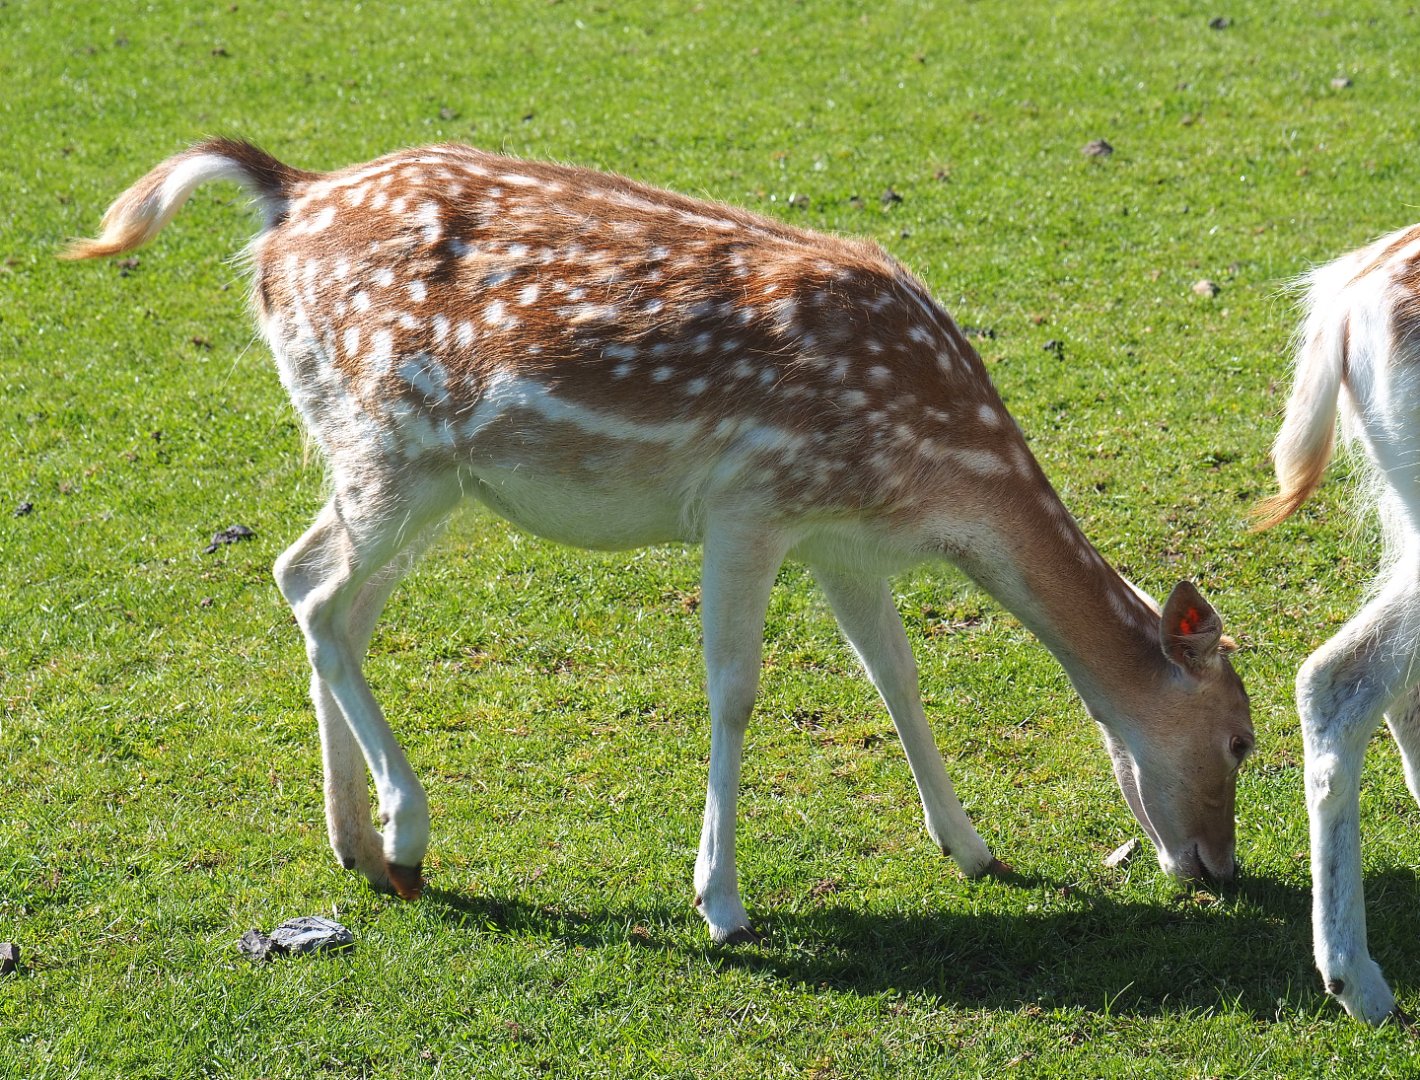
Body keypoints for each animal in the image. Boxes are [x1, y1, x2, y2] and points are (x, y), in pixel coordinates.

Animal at [64, 139, 1254, 943]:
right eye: (1242, 740)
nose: (1222, 868)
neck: (936, 474)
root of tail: (287, 193)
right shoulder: (750, 503)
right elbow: (735, 690)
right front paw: (720, 900)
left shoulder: (840, 538)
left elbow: (896, 675)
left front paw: (970, 847)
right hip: (387, 447)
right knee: (308, 585)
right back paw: (405, 835)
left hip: (413, 476)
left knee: (330, 600)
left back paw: (355, 846)